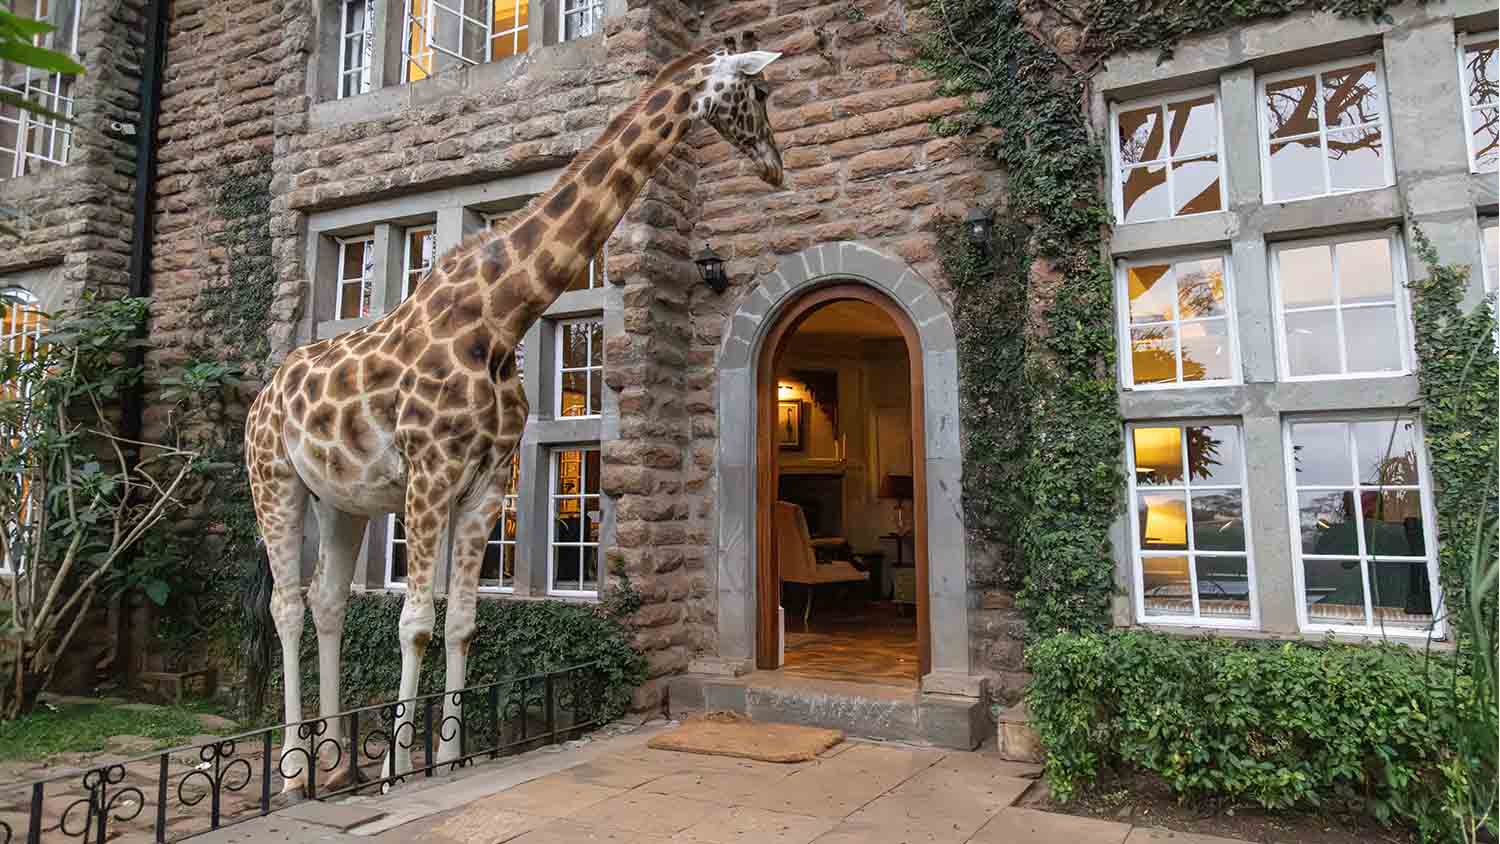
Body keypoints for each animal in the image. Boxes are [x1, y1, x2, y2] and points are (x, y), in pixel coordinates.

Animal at [245, 46, 787, 791]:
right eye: (759, 93)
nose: (777, 167)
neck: (500, 318)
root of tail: (260, 396)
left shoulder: (485, 483)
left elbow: (462, 623)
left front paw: (446, 758)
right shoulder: (429, 477)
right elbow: (415, 620)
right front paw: (398, 769)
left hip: (340, 499)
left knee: (327, 600)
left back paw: (332, 765)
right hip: (274, 482)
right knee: (287, 605)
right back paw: (295, 771)